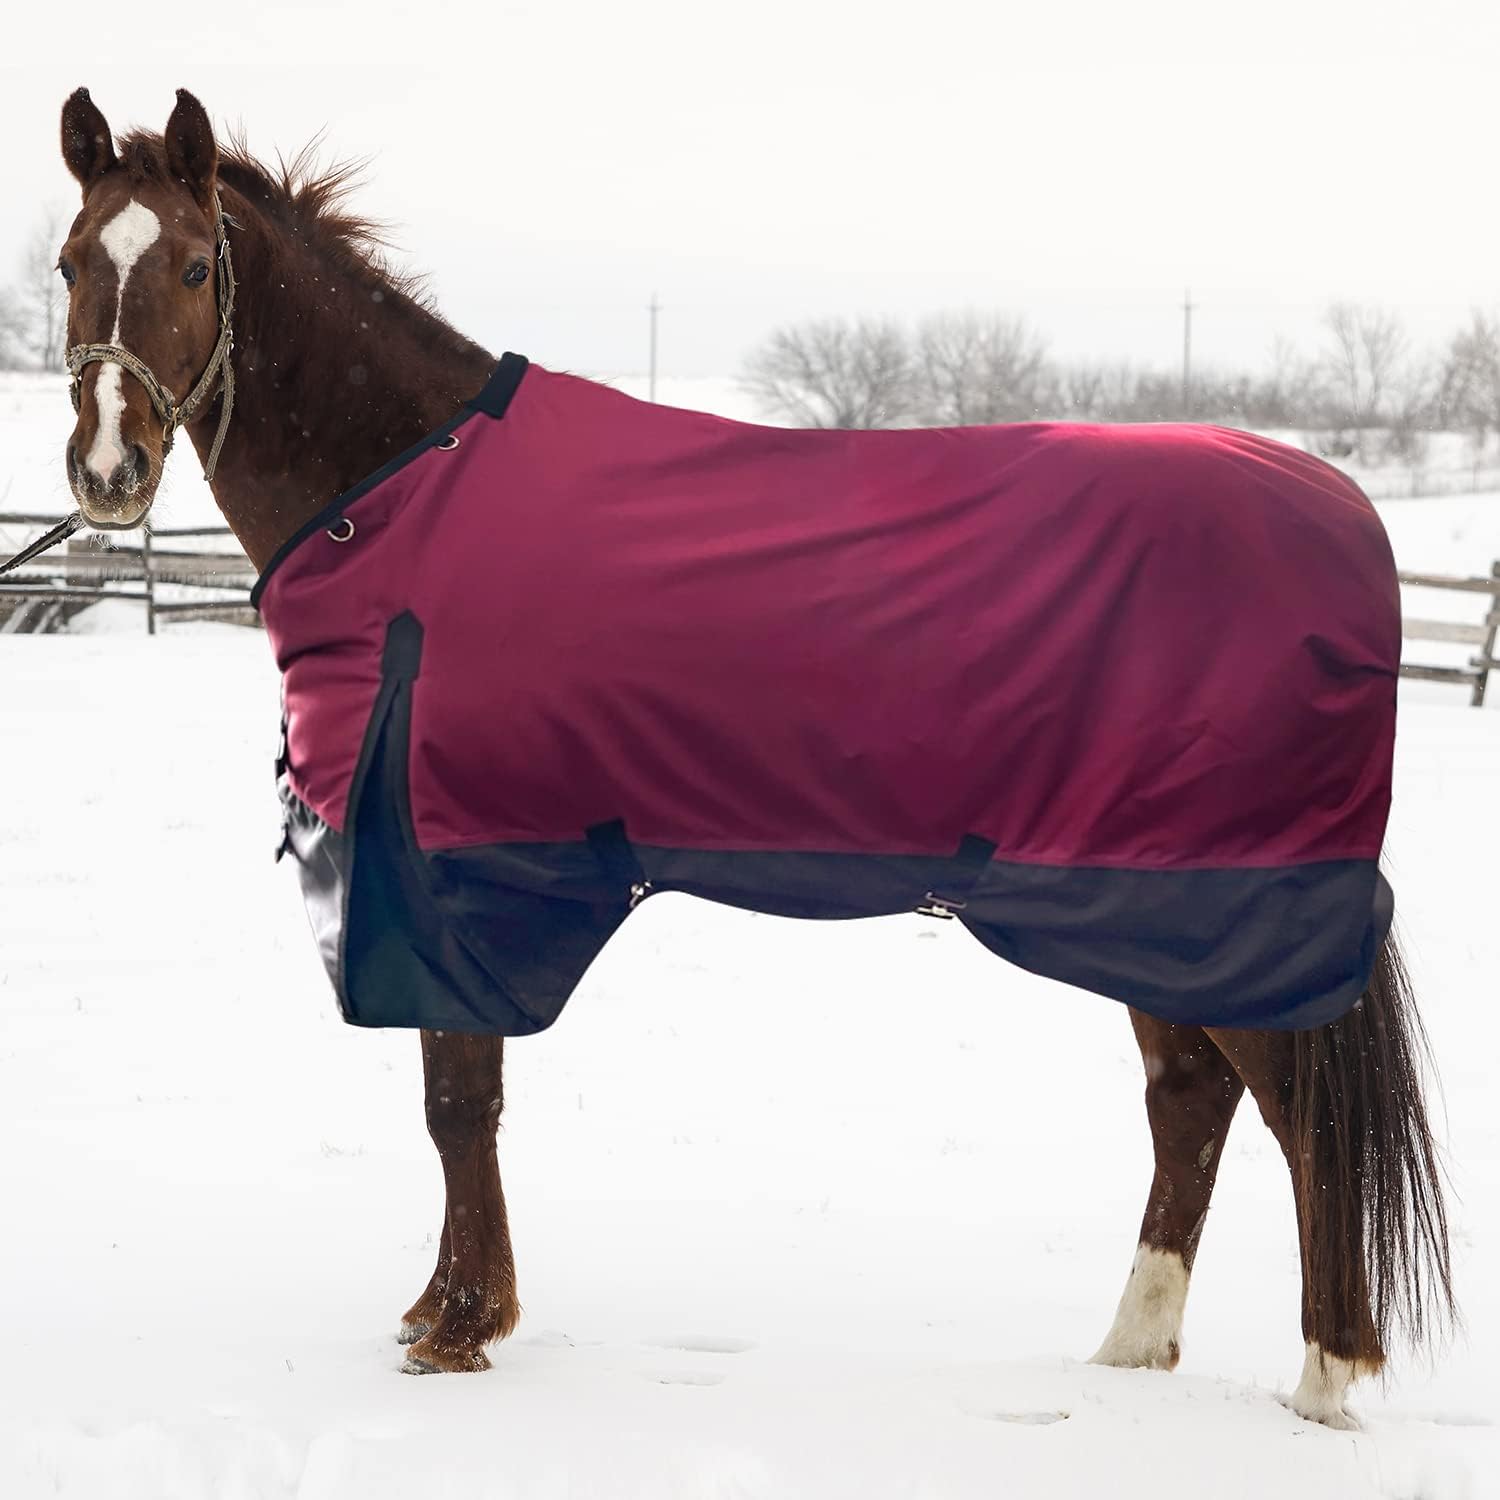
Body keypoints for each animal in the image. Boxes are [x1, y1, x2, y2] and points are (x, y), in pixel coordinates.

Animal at [52, 86, 1453, 1427]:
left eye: (192, 264)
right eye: (68, 260)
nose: (109, 469)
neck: (406, 492)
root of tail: (1345, 522)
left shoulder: (458, 867)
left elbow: (458, 1102)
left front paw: (457, 1329)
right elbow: (463, 1101)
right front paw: (447, 1313)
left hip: (1217, 897)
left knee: (1300, 1114)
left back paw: (1325, 1377)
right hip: (1142, 898)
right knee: (1190, 1098)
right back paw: (1129, 1354)